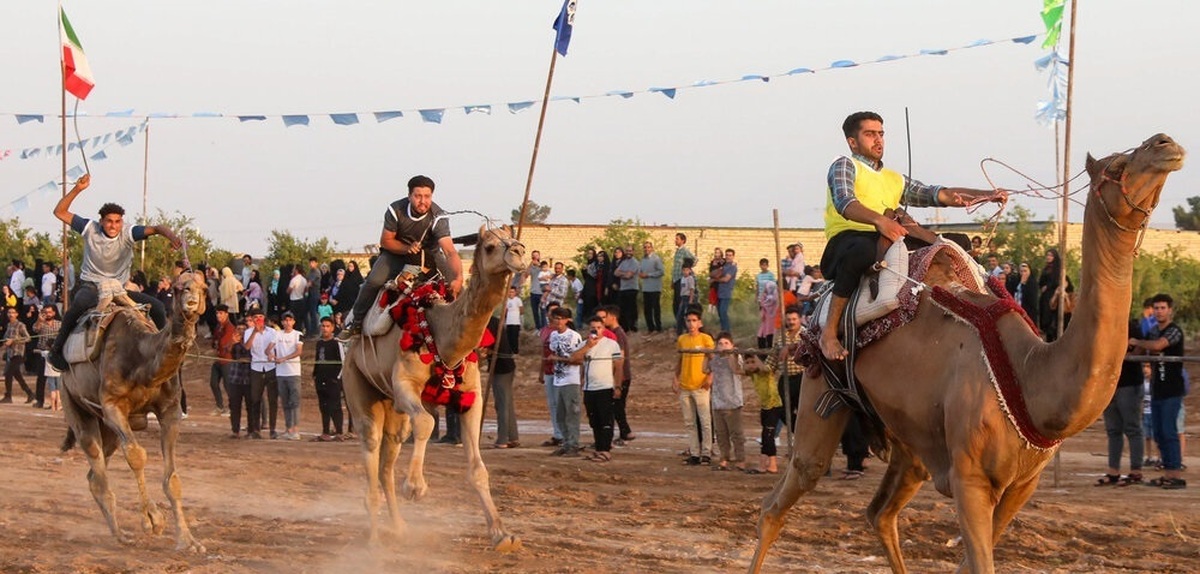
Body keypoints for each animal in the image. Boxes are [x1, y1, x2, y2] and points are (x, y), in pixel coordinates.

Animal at [59, 271, 208, 554]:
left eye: (204, 287)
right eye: (178, 287)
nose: (191, 302)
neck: (142, 359)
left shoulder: (170, 410)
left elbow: (173, 479)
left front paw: (188, 541)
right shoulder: (112, 405)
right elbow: (137, 456)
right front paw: (152, 520)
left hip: (110, 432)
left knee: (94, 474)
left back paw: (120, 534)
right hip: (74, 404)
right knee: (96, 466)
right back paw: (121, 535)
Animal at [338, 223, 525, 552]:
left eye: (512, 238)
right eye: (490, 245)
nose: (519, 252)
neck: (443, 337)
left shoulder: (471, 397)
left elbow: (478, 469)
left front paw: (503, 536)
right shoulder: (404, 384)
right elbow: (425, 422)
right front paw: (415, 487)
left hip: (391, 406)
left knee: (389, 455)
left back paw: (400, 529)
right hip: (357, 382)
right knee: (372, 443)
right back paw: (374, 538)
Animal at [753, 135, 1185, 574]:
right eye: (1116, 167)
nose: (1165, 143)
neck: (1031, 379)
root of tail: (814, 314)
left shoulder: (1022, 485)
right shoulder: (970, 478)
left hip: (909, 439)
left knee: (881, 512)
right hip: (822, 387)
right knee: (785, 493)